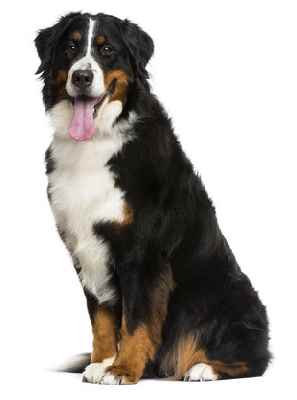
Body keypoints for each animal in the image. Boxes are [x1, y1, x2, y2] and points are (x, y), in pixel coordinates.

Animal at [35, 12, 270, 384]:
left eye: (106, 50)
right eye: (71, 47)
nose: (82, 76)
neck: (97, 144)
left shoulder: (142, 251)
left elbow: (137, 320)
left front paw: (123, 369)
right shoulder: (85, 249)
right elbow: (102, 319)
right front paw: (103, 362)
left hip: (228, 295)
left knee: (254, 360)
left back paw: (203, 368)